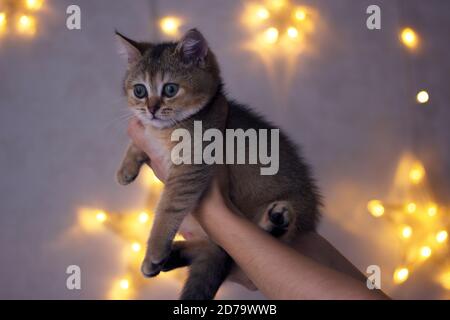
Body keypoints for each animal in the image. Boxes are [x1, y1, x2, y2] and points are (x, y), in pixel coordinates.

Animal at [115, 28, 320, 298]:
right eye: (139, 91)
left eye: (170, 89)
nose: (151, 109)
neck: (169, 130)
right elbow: (138, 141)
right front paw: (126, 169)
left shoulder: (191, 168)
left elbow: (167, 209)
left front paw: (155, 249)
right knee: (207, 249)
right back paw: (175, 254)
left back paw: (275, 222)